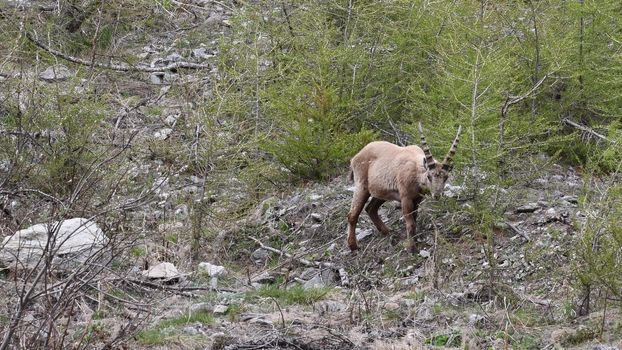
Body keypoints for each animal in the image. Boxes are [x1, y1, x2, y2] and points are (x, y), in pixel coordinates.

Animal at [348, 123, 460, 252]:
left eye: (446, 177)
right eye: (429, 176)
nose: (437, 195)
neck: (416, 172)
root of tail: (356, 157)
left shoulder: (417, 199)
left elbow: (415, 219)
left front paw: (415, 241)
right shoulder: (405, 198)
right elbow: (410, 223)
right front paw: (412, 249)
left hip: (381, 192)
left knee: (371, 208)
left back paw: (387, 232)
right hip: (362, 187)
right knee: (352, 215)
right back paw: (353, 246)